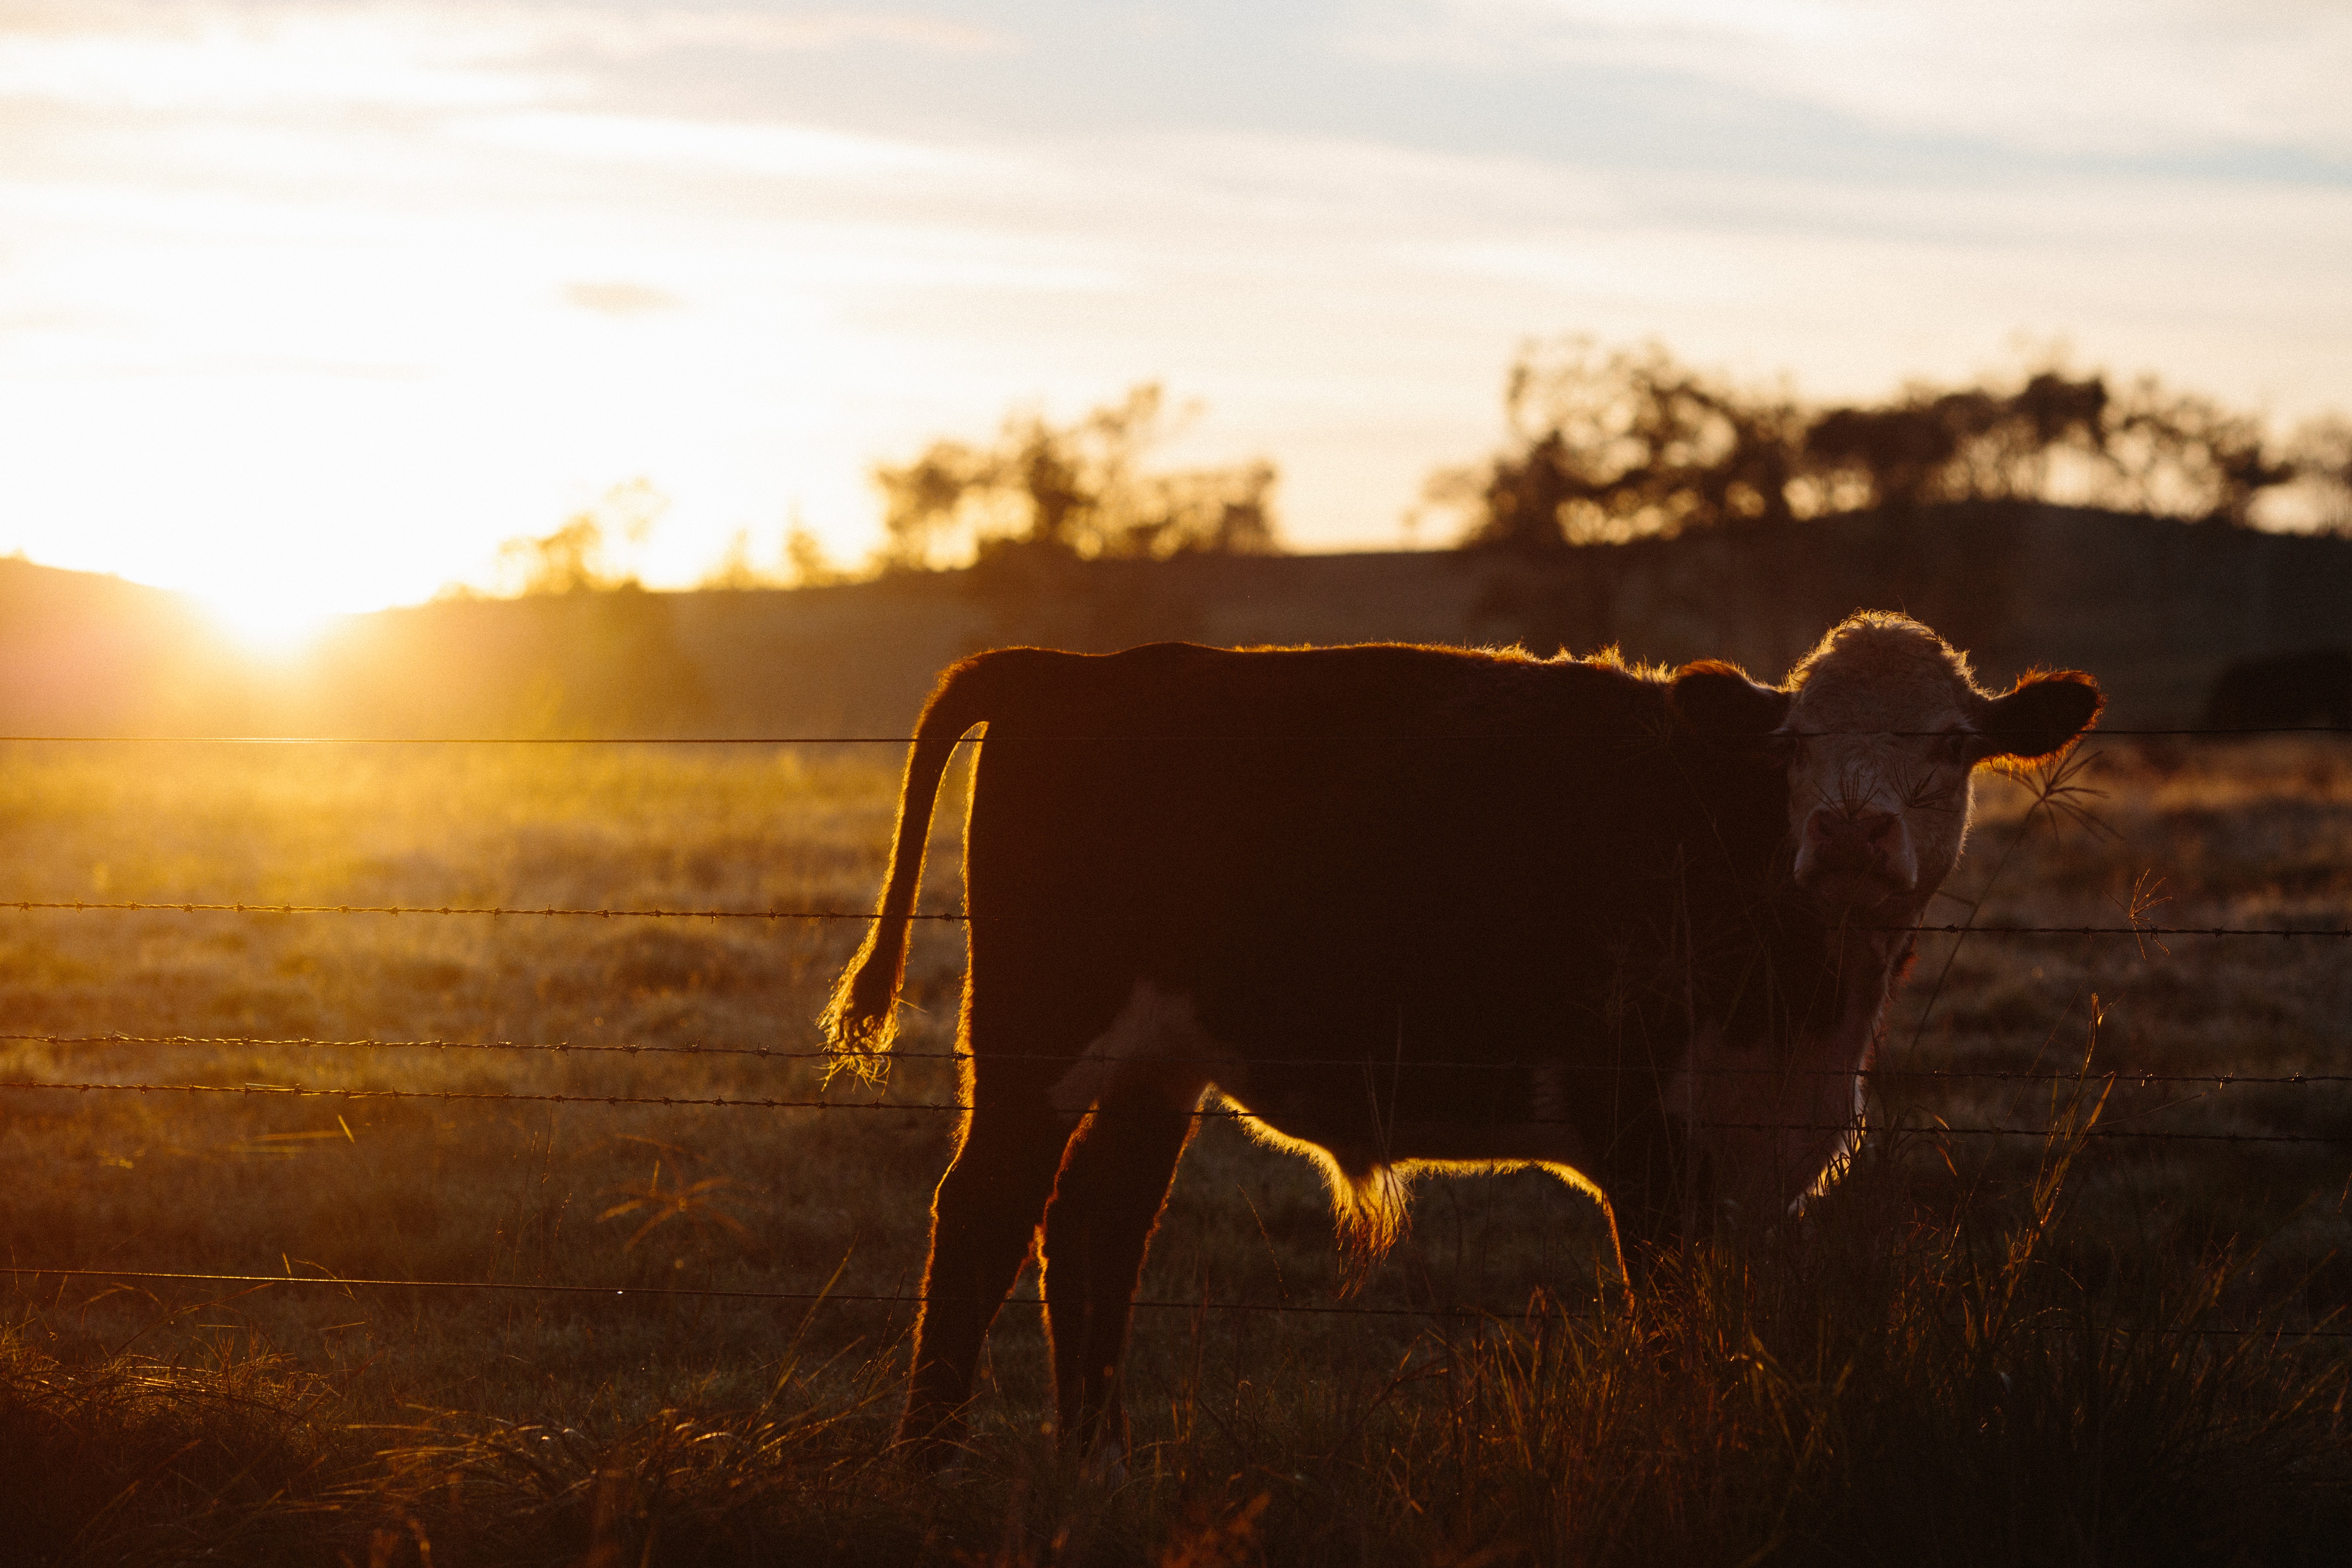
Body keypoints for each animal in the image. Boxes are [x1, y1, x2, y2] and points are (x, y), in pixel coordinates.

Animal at [823, 611, 2098, 1457]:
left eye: (1951, 744)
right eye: (1789, 746)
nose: (1845, 828)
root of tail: (1073, 670)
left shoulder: (1748, 1152)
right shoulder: (1637, 1131)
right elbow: (1672, 1329)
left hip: (1158, 1055)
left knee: (1097, 1219)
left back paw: (1098, 1459)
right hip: (1036, 1032)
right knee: (983, 1214)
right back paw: (929, 1465)